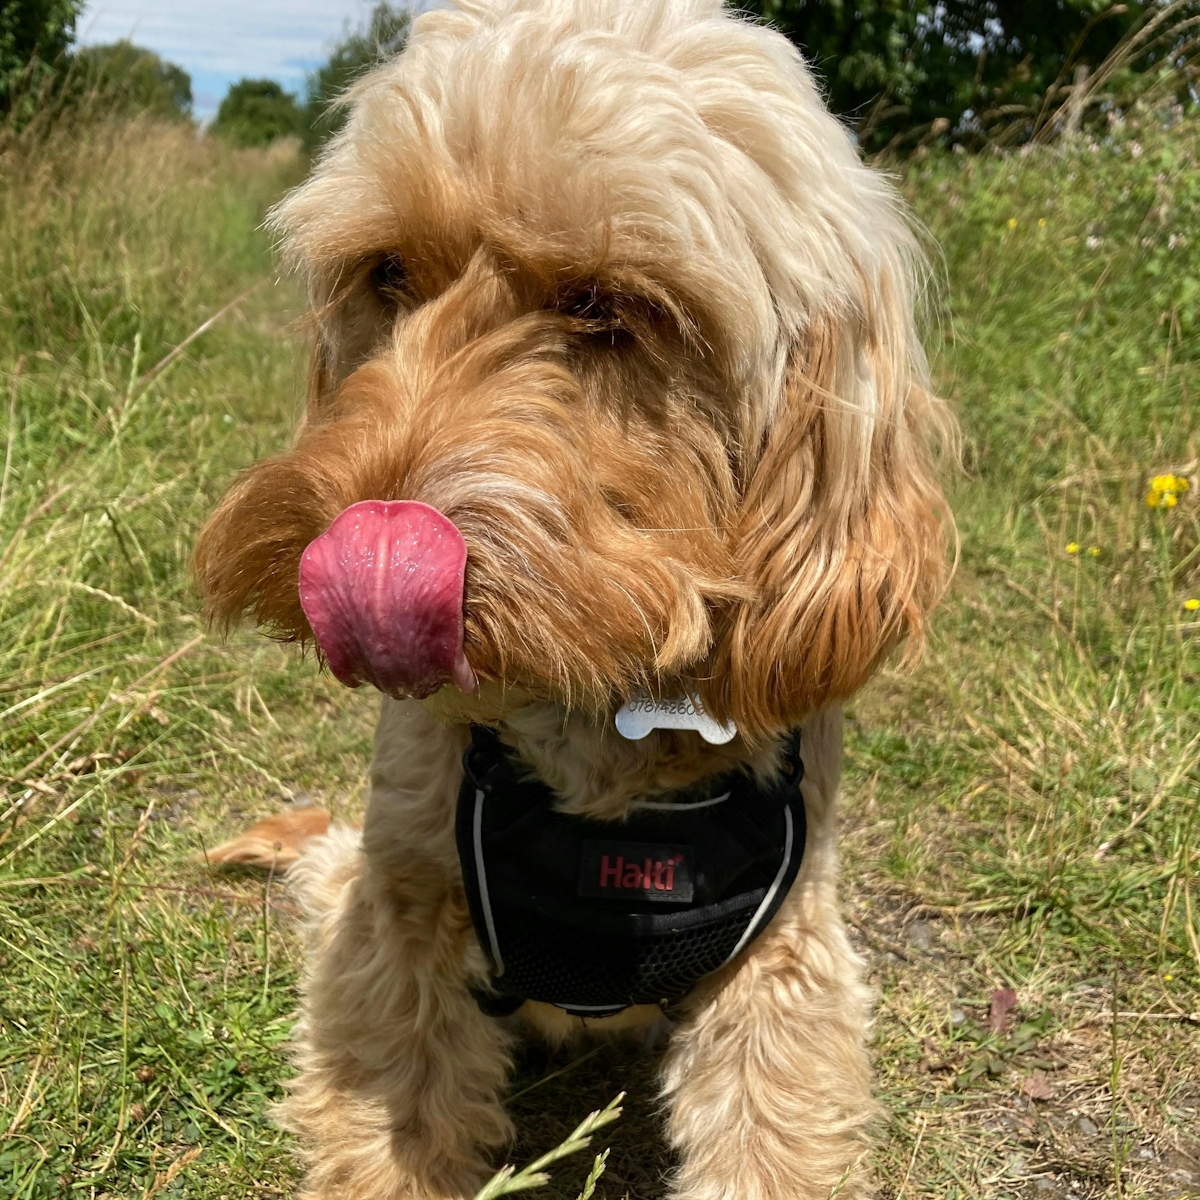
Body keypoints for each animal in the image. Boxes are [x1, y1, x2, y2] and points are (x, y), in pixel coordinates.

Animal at [196, 2, 955, 1200]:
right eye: (388, 270)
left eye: (611, 305)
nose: (357, 548)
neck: (597, 712)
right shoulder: (395, 925)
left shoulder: (785, 966)